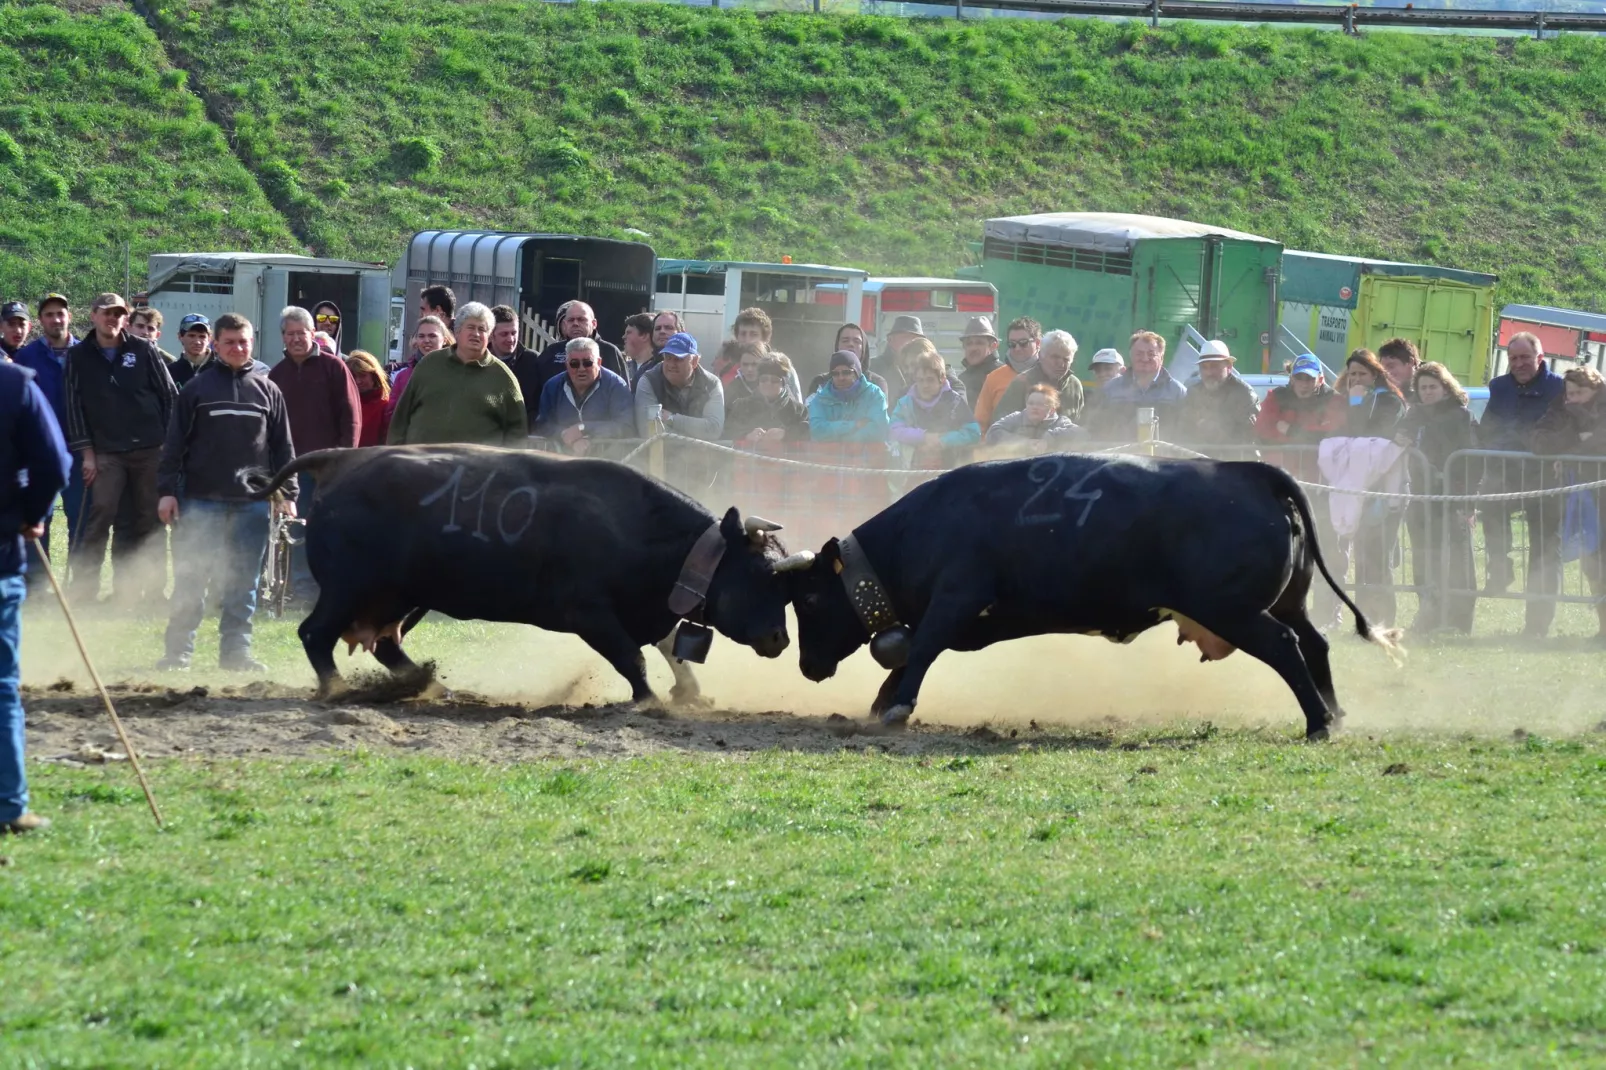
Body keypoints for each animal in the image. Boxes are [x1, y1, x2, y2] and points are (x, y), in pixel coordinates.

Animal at [240, 440, 815, 700]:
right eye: (762, 575)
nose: (779, 638)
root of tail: (343, 459)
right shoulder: (590, 613)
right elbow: (632, 658)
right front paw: (651, 701)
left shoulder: (647, 608)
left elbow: (670, 646)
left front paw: (690, 693)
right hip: (348, 588)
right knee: (315, 633)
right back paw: (339, 689)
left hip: (402, 597)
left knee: (384, 643)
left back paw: (431, 686)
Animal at [783, 446, 1400, 732]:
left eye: (809, 600)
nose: (807, 666)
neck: (924, 528)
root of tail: (1247, 472)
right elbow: (914, 649)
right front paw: (882, 700)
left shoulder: (956, 598)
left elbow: (924, 647)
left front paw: (897, 705)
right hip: (1287, 603)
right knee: (1314, 642)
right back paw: (1335, 712)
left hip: (1233, 610)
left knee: (1284, 647)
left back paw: (1318, 723)